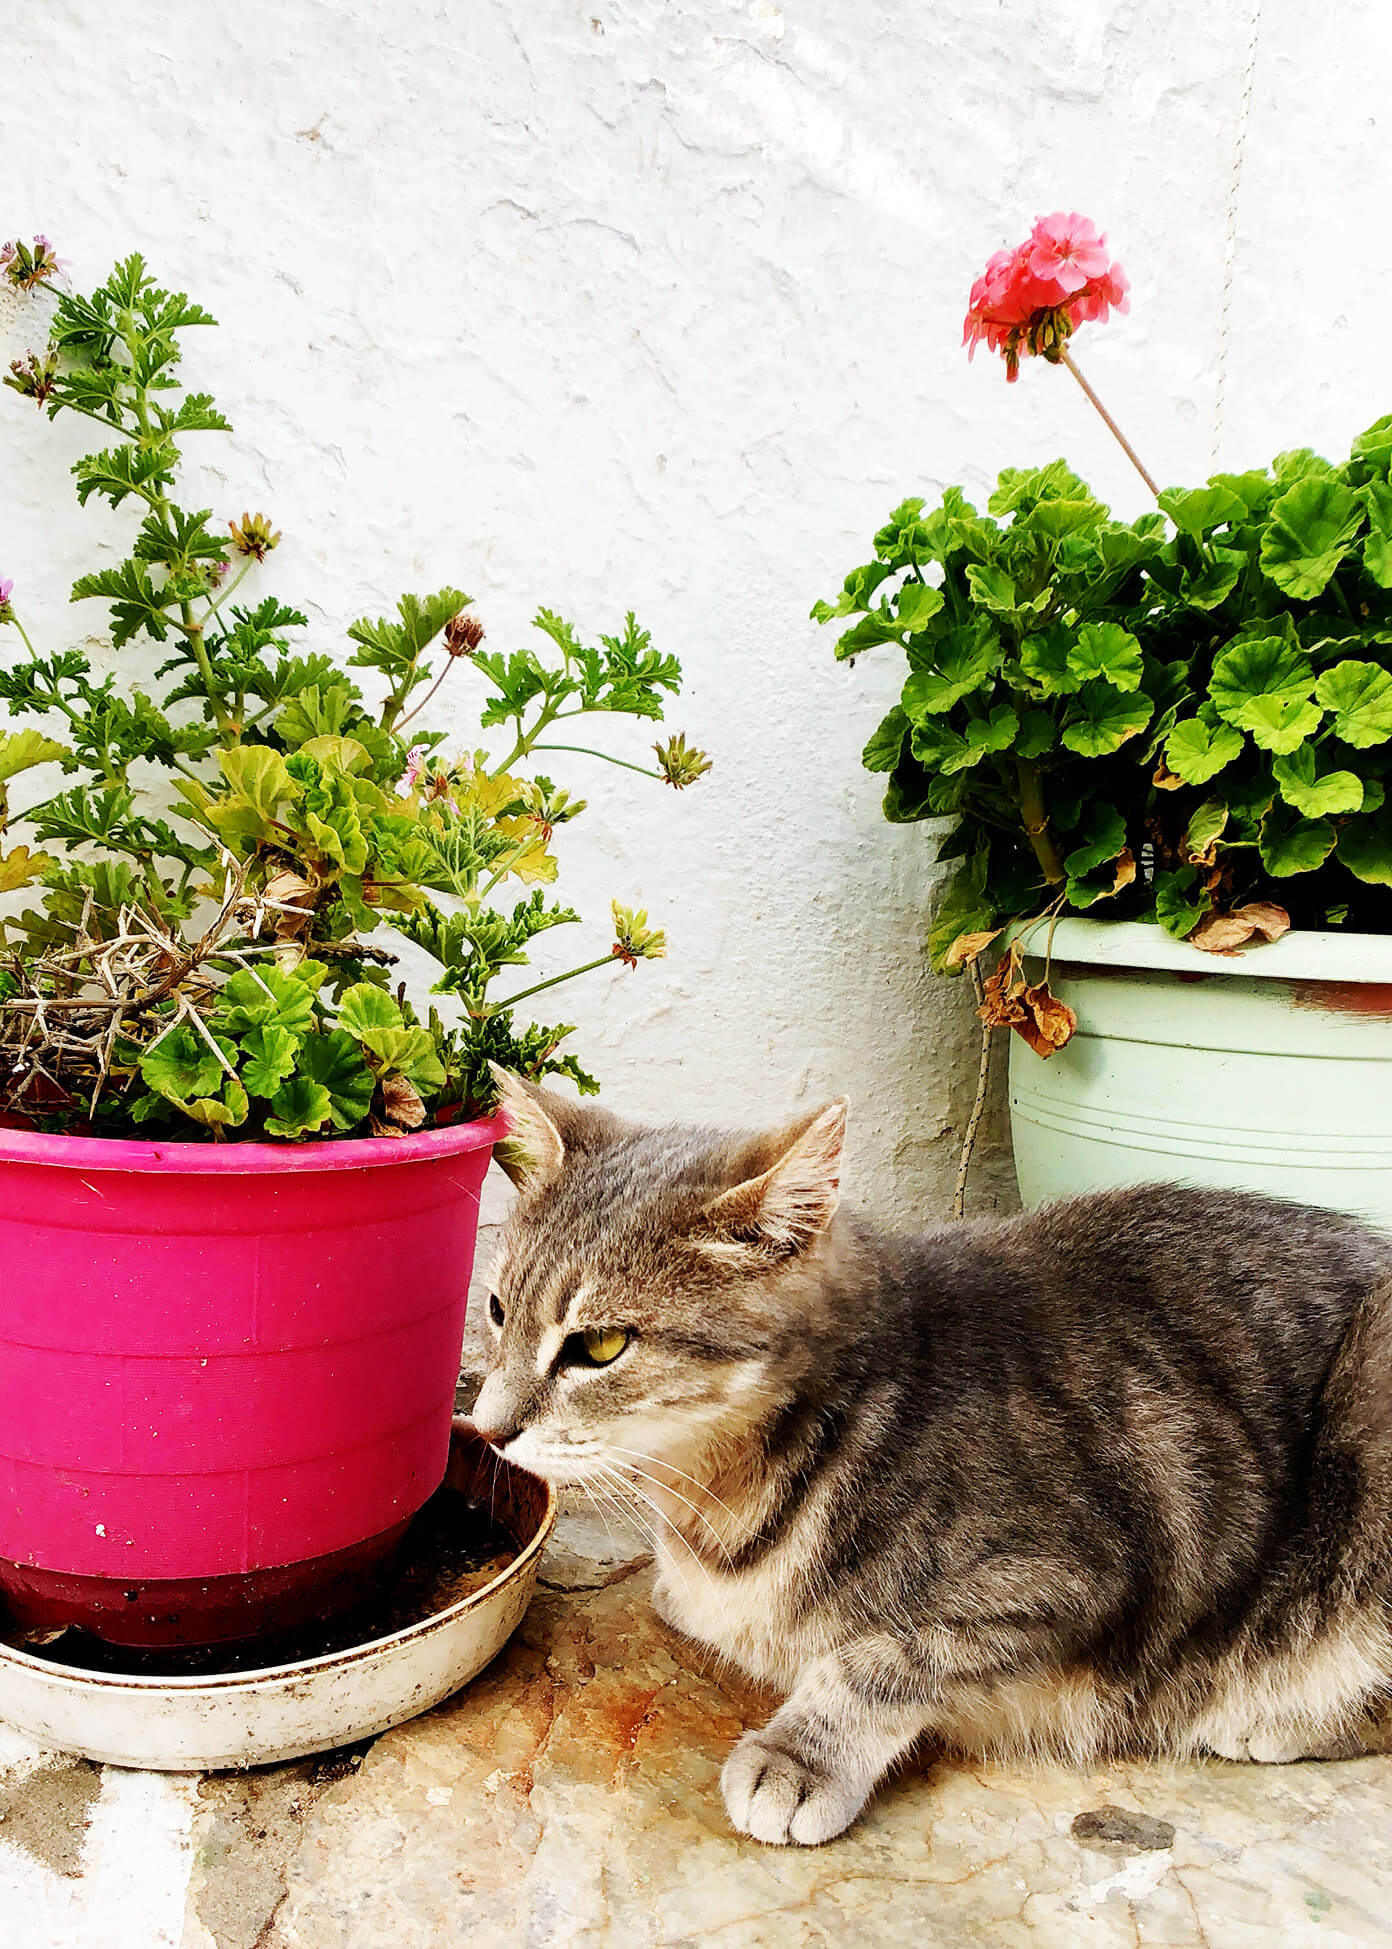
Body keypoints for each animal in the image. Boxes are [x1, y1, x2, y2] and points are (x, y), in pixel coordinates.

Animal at [471, 1075, 1388, 1847]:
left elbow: (888, 1656)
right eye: (497, 1307)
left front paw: (801, 1753)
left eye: (599, 1345)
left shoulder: (1067, 1576)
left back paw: (1272, 1718)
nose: (485, 1427)